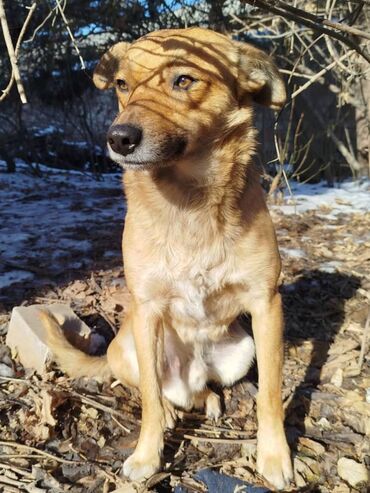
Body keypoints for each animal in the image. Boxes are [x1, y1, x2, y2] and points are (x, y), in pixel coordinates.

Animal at [43, 28, 292, 490]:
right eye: (122, 84)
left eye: (183, 80)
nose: (119, 138)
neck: (190, 200)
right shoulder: (147, 309)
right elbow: (149, 400)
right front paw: (147, 455)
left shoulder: (267, 305)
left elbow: (269, 393)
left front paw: (274, 456)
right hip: (129, 350)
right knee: (157, 391)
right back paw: (176, 409)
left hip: (242, 350)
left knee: (201, 388)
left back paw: (207, 400)